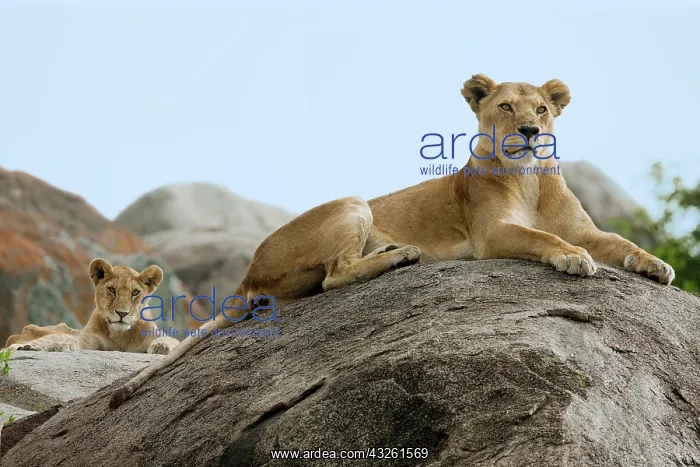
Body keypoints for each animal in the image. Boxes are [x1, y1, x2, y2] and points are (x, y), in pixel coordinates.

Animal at [4, 259, 180, 355]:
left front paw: (162, 346)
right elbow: (72, 341)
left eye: (135, 292)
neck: (120, 336)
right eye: (112, 289)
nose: (122, 313)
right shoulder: (89, 341)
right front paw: (58, 346)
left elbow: (172, 339)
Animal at [108, 74, 675, 409]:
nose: (532, 132)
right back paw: (402, 254)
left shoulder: (589, 228)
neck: (531, 177)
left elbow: (619, 240)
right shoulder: (491, 234)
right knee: (334, 277)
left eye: (541, 109)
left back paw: (391, 252)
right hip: (353, 202)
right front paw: (573, 259)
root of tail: (246, 275)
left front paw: (656, 266)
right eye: (507, 107)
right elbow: (542, 236)